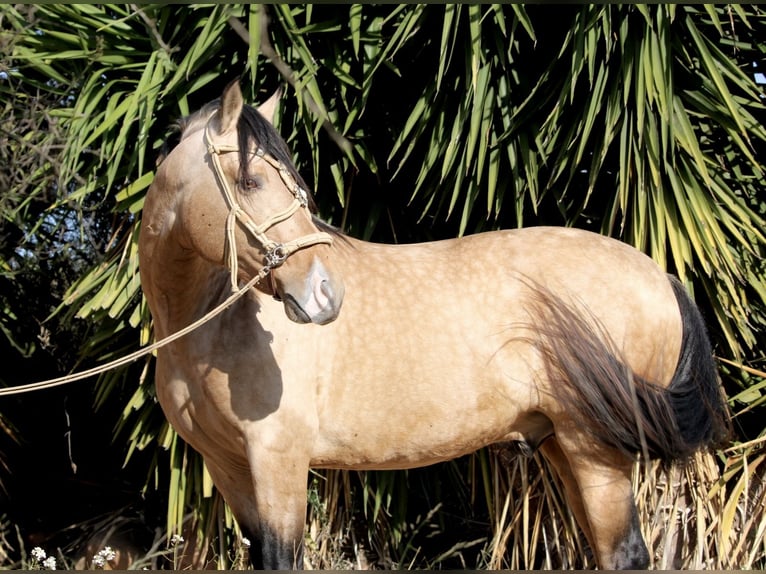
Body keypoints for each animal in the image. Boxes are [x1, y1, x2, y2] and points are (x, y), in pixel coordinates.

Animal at [138, 81, 732, 572]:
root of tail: (661, 276)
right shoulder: (228, 464)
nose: (326, 294)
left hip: (596, 452)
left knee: (625, 553)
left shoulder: (278, 460)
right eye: (251, 180)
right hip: (565, 446)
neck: (210, 325)